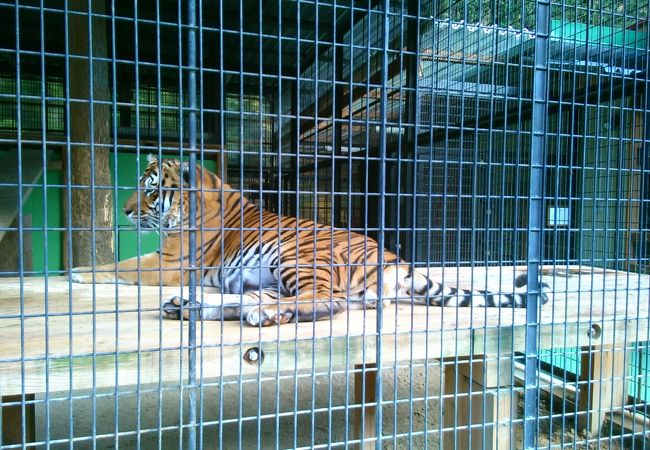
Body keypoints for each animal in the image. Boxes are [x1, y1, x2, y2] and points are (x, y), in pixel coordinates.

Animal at [71, 156, 548, 326]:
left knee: (327, 302)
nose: (126, 210)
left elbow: (120, 267)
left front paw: (76, 272)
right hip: (266, 279)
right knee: (256, 300)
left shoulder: (169, 261)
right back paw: (190, 306)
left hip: (297, 257)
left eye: (151, 190)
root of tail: (398, 260)